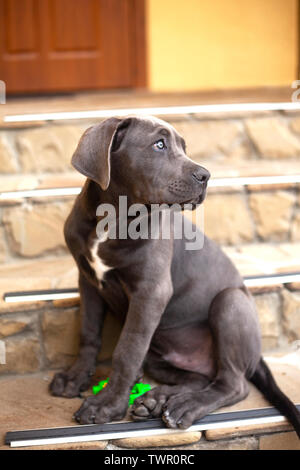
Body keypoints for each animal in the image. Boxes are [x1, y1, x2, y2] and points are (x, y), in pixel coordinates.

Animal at [49, 114, 300, 436]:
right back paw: (156, 400)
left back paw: (185, 405)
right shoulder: (88, 280)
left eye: (184, 147)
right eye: (159, 144)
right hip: (161, 358)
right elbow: (89, 333)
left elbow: (127, 348)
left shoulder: (151, 291)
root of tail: (257, 357)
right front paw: (76, 377)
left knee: (233, 384)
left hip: (230, 303)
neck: (112, 219)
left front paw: (107, 404)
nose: (205, 175)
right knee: (197, 377)